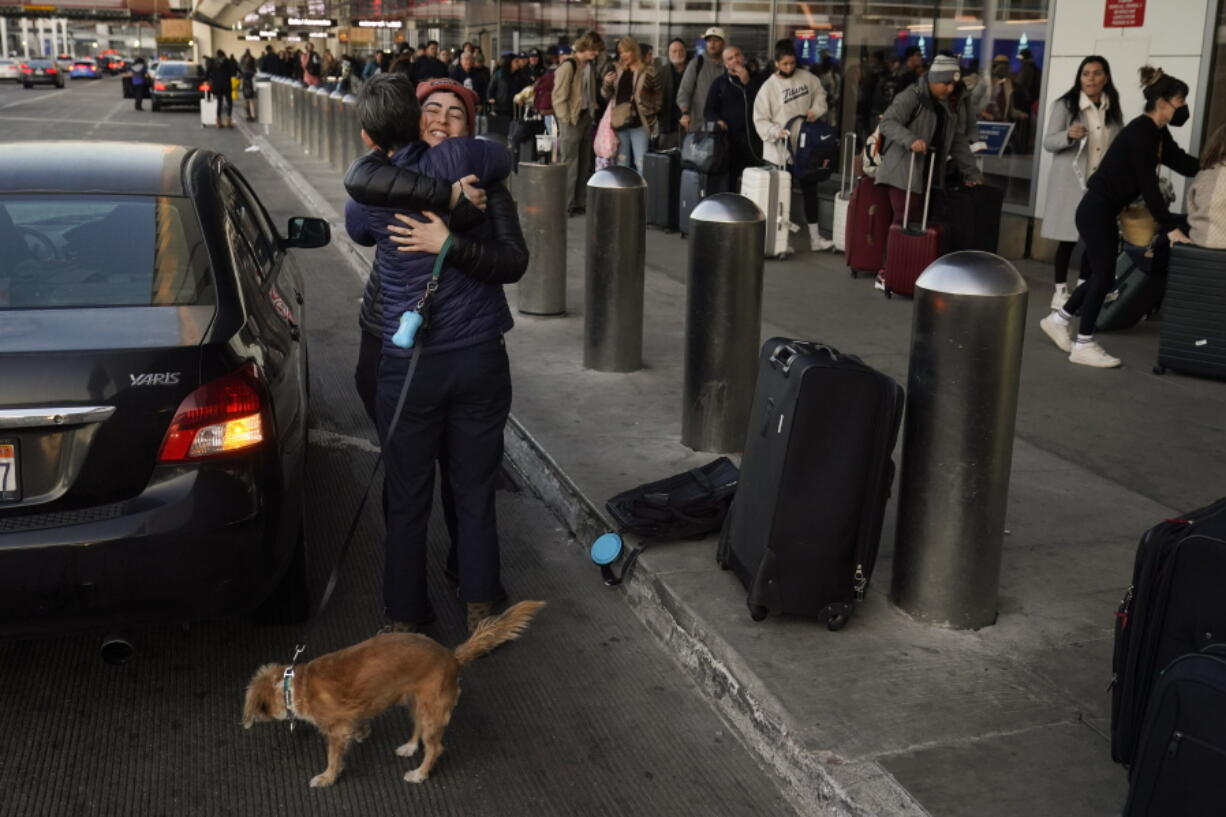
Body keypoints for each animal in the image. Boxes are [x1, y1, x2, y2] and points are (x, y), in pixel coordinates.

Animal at [241, 601, 544, 785]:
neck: (294, 684)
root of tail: (452, 656)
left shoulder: (336, 731)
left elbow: (334, 758)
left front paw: (327, 778)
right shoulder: (354, 715)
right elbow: (360, 724)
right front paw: (362, 733)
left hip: (433, 711)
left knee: (435, 747)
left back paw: (419, 774)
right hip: (417, 703)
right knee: (418, 730)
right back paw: (409, 747)